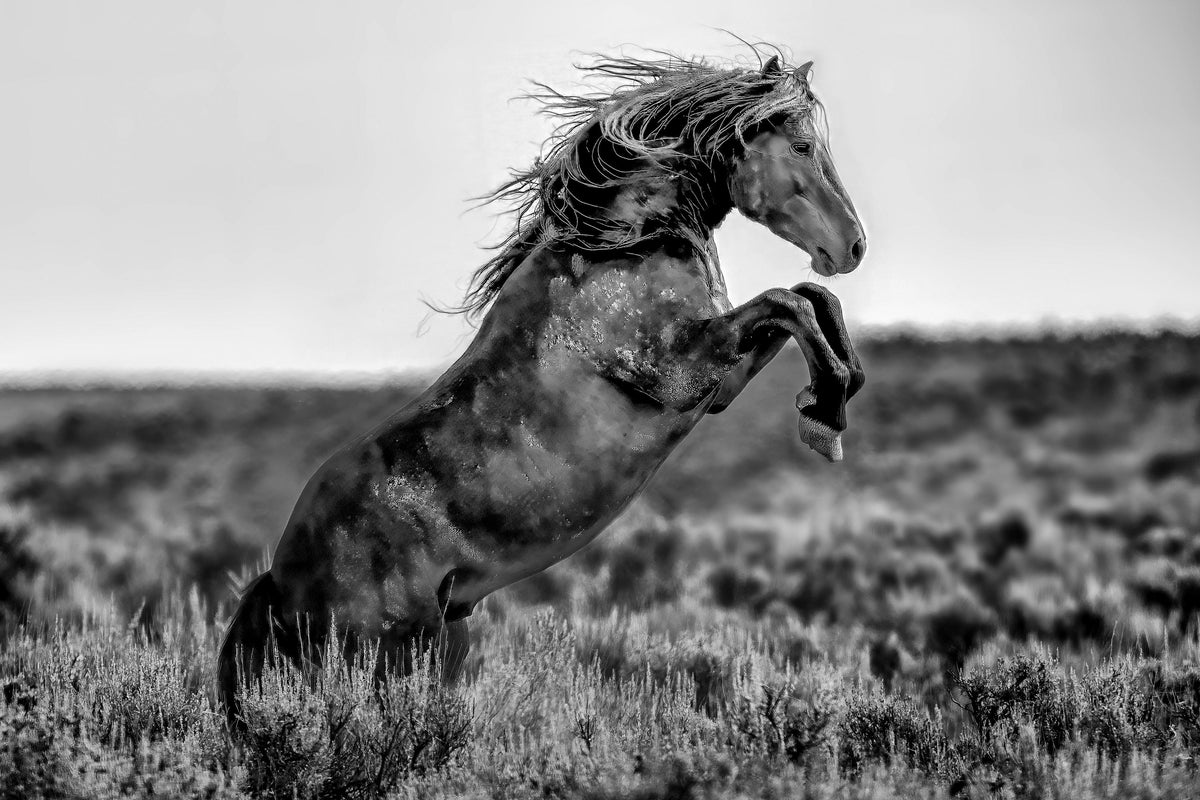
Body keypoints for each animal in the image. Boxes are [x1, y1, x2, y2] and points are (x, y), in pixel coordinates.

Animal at [217, 49, 867, 723]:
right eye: (801, 145)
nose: (851, 247)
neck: (620, 245)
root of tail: (280, 580)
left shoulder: (722, 381)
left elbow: (812, 302)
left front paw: (830, 402)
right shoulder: (685, 370)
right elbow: (789, 301)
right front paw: (826, 416)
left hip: (437, 636)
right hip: (386, 652)